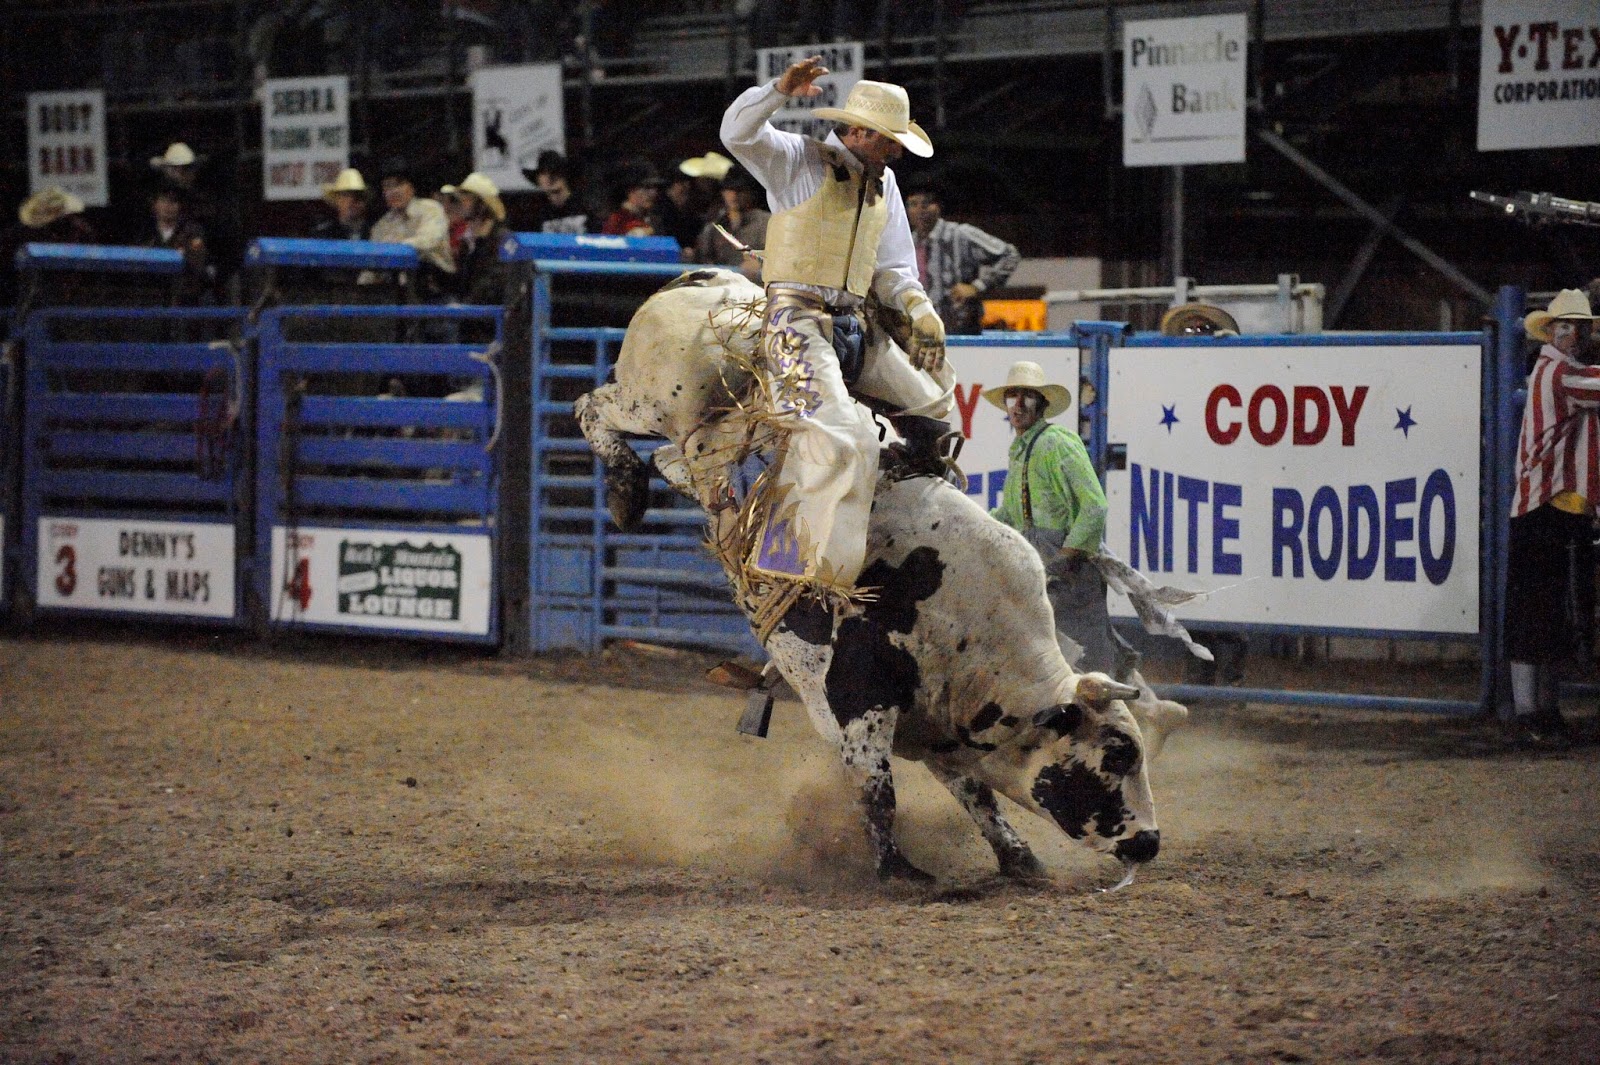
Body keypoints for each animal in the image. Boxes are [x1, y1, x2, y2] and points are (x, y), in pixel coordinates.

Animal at [572, 270, 1190, 882]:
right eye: (1118, 753)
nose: (1151, 842)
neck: (967, 626)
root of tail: (713, 279)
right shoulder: (858, 700)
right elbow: (877, 789)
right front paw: (899, 871)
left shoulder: (940, 732)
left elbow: (977, 797)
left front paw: (1020, 858)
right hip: (652, 398)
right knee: (593, 406)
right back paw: (625, 490)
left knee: (677, 458)